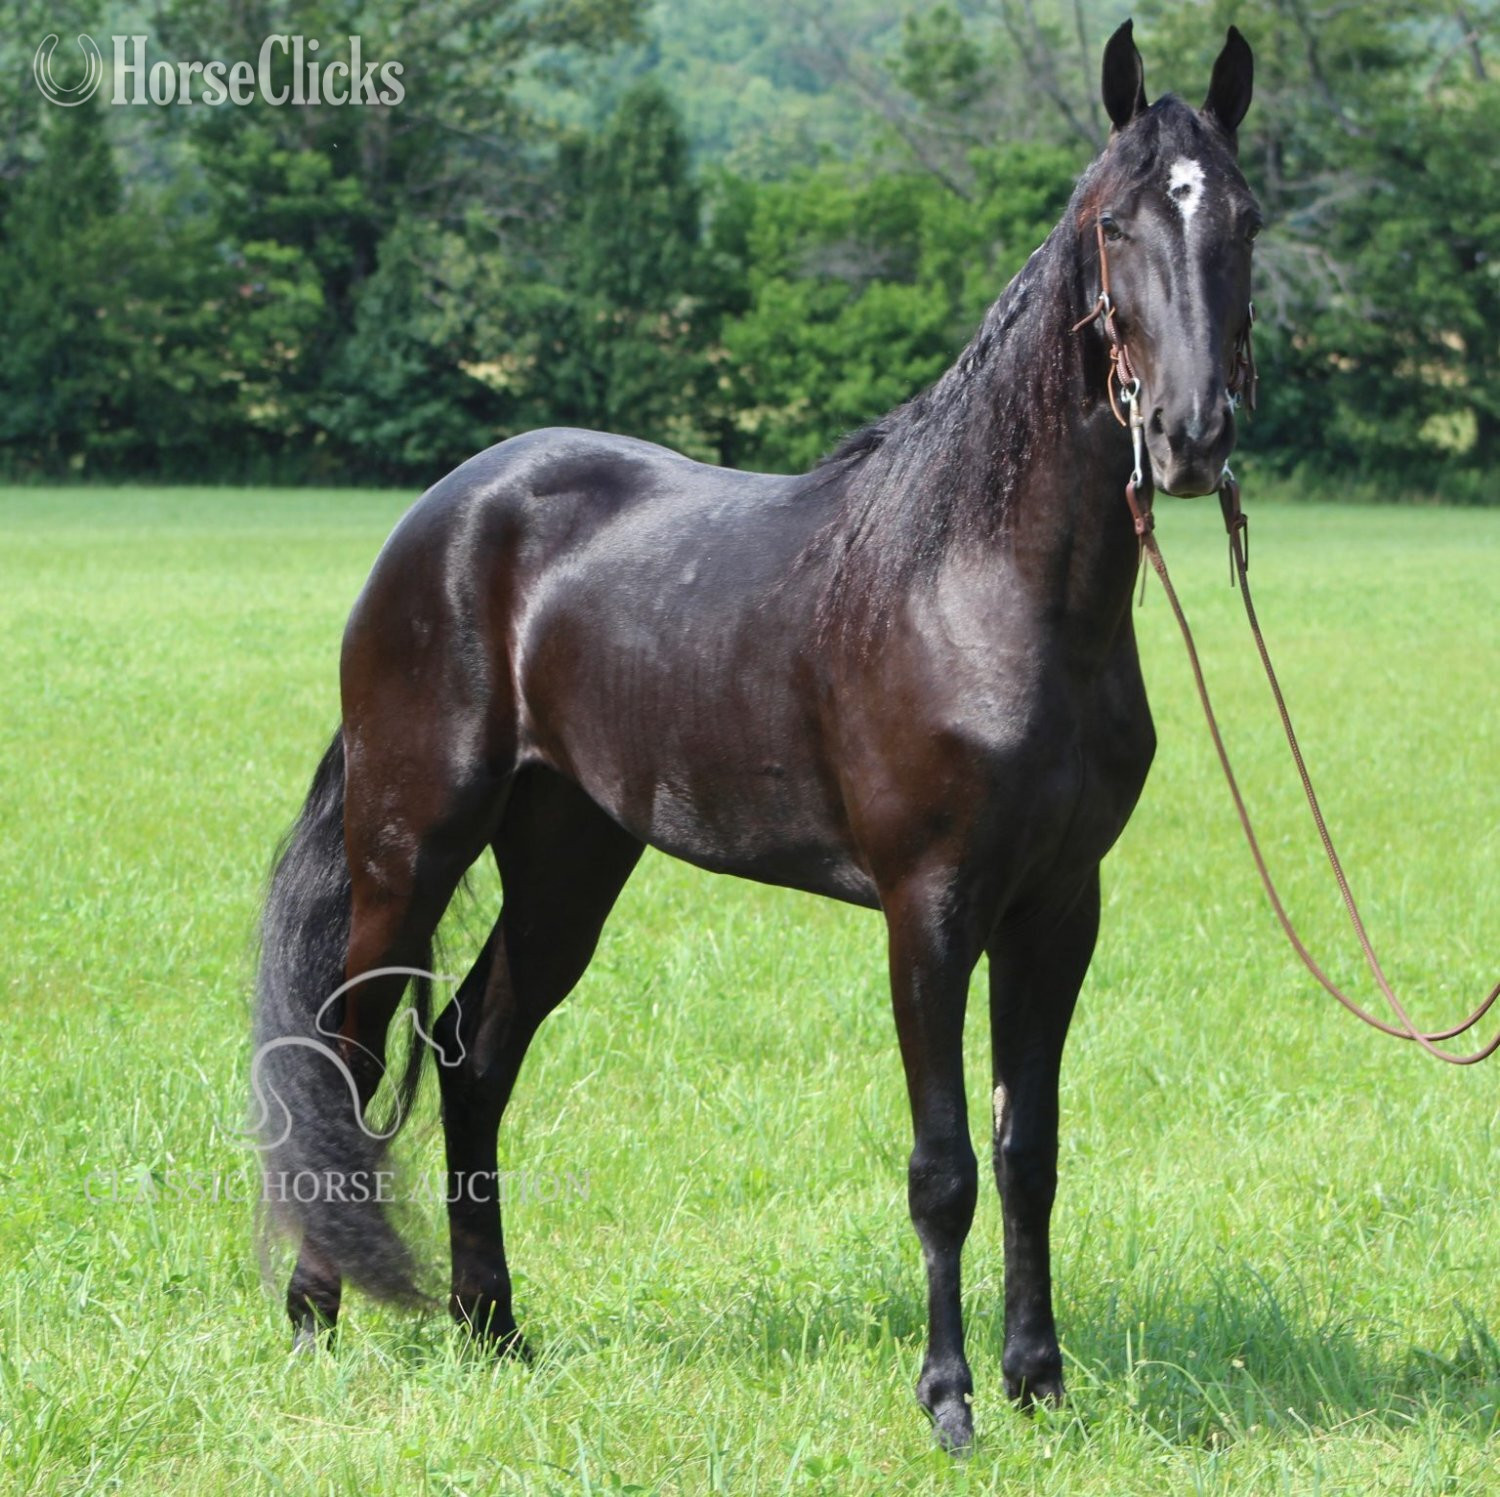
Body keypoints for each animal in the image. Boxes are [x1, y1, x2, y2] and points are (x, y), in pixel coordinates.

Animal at [252, 20, 1259, 1452]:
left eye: (1243, 216)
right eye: (1114, 224)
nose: (1189, 438)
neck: (983, 585)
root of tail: (444, 512)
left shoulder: (1060, 906)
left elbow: (1031, 1151)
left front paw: (1040, 1383)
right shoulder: (930, 909)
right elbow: (946, 1166)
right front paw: (951, 1402)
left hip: (567, 859)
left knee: (472, 1055)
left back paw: (494, 1331)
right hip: (412, 844)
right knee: (346, 1051)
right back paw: (317, 1315)